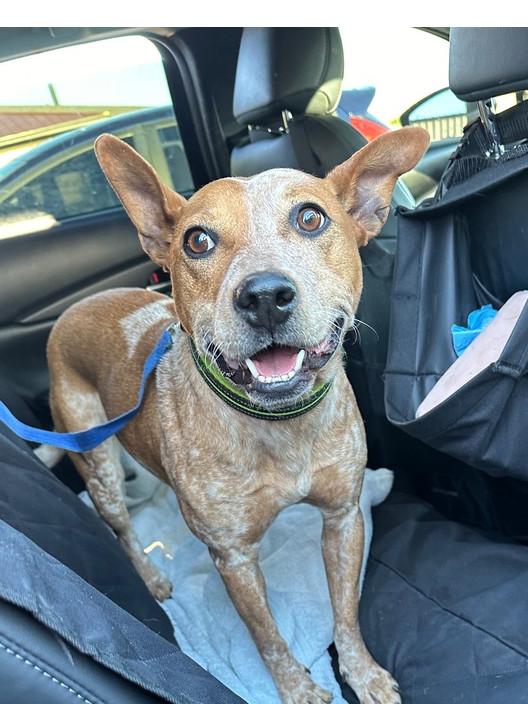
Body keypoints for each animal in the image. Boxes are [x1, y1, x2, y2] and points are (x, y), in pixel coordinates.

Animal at [42, 128, 428, 704]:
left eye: (310, 217)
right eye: (197, 240)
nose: (265, 296)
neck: (281, 428)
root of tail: (68, 315)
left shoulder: (343, 518)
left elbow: (346, 613)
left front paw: (362, 673)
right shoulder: (234, 559)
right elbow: (267, 637)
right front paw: (299, 690)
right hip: (99, 466)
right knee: (121, 527)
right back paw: (150, 577)